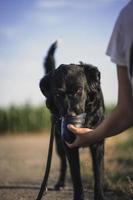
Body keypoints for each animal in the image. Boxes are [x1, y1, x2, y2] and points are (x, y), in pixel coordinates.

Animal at [39, 41, 105, 199]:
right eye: (58, 94)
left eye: (79, 90)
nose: (71, 115)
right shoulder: (68, 144)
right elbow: (76, 177)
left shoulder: (98, 143)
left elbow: (98, 173)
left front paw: (100, 195)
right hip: (58, 144)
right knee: (64, 163)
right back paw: (60, 183)